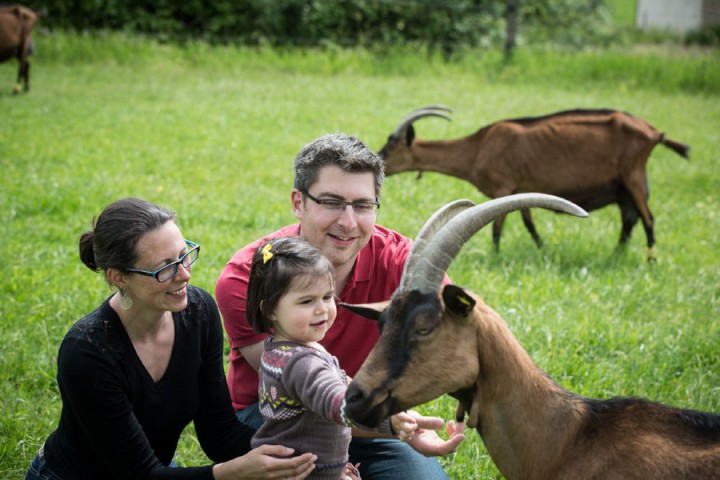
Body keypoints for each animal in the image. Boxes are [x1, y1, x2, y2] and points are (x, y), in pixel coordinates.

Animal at [380, 106, 688, 260]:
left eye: (392, 146)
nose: (379, 158)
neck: (479, 147)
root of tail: (654, 132)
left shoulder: (503, 187)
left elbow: (497, 229)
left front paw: (495, 256)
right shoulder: (519, 190)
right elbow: (529, 224)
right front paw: (543, 250)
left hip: (633, 177)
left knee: (647, 218)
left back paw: (650, 260)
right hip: (623, 187)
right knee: (629, 219)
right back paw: (617, 254)